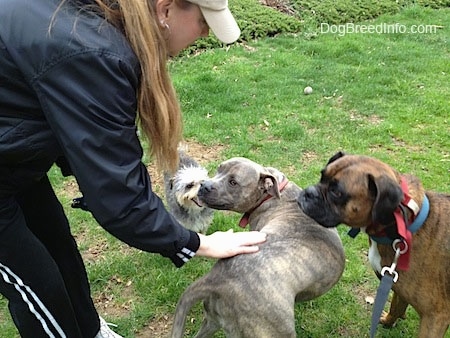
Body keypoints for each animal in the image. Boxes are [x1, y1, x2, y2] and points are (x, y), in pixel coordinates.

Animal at [298, 152, 450, 336]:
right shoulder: (395, 282)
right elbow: (397, 306)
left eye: (336, 192)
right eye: (322, 177)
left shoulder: (435, 317)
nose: (308, 192)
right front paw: (387, 321)